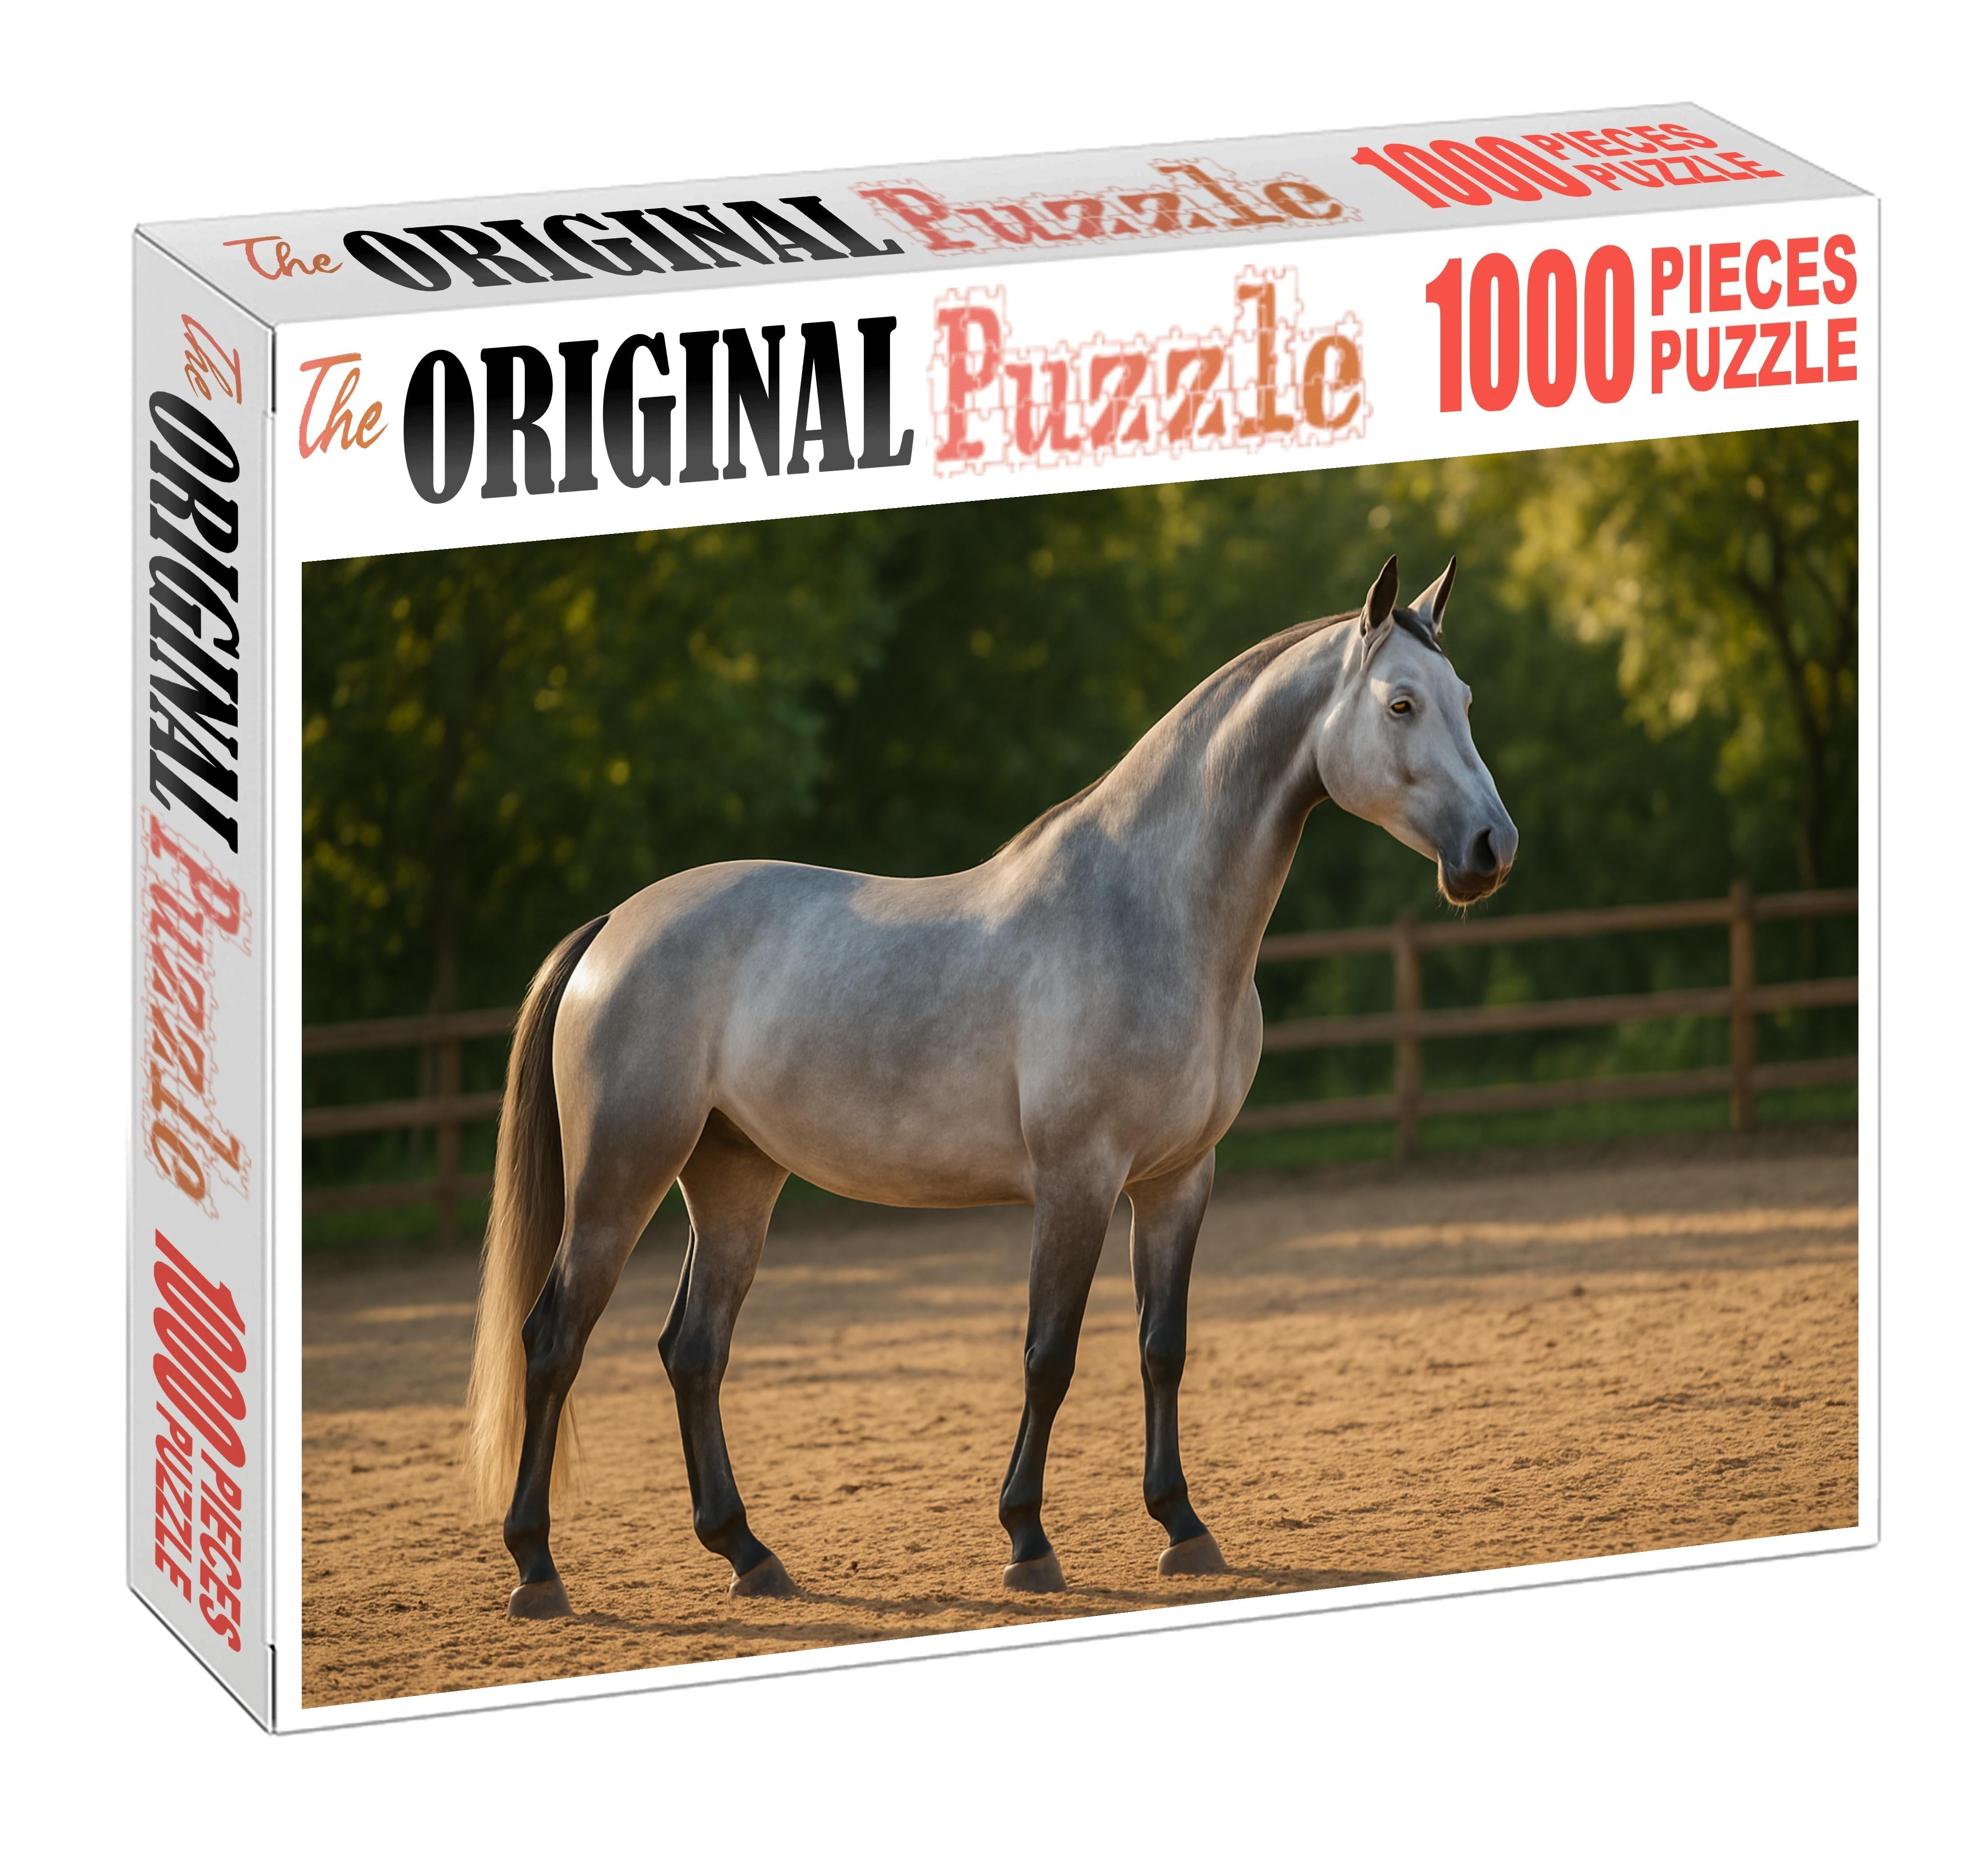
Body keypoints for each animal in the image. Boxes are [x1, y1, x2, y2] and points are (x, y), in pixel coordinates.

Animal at [465, 554, 1518, 1618]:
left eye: (1468, 699)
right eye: (1399, 703)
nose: (1491, 849)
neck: (1150, 913)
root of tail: (612, 926)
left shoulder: (1178, 1181)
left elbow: (1162, 1347)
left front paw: (1183, 1527)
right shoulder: (1077, 1180)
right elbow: (1049, 1355)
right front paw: (1027, 1541)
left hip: (733, 1176)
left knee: (693, 1350)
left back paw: (748, 1554)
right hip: (622, 1175)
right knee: (553, 1338)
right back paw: (537, 1567)